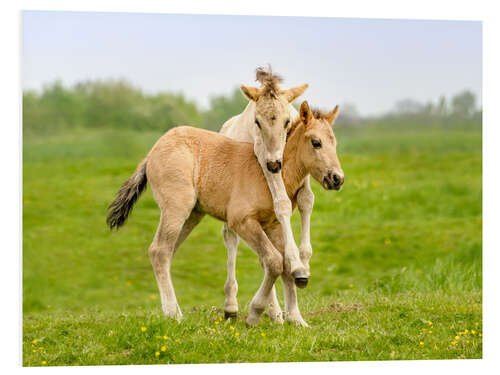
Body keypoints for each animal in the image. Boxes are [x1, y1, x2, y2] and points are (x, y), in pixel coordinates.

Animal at [106, 101, 344, 328]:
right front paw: (255, 314)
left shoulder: (273, 225)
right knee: (160, 251)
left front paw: (296, 319)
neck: (271, 174)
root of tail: (152, 152)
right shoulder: (242, 221)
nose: (337, 178)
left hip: (192, 214)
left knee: (166, 252)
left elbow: (286, 264)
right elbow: (274, 261)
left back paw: (172, 311)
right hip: (177, 208)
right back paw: (174, 315)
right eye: (316, 142)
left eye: (335, 143)